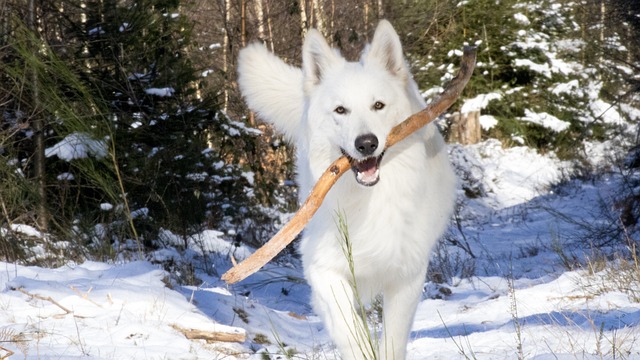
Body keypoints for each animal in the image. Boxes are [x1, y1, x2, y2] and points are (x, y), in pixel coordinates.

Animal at [239, 20, 456, 360]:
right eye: (341, 110)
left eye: (378, 105)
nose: (366, 143)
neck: (367, 200)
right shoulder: (323, 267)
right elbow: (350, 331)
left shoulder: (407, 276)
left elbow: (392, 342)